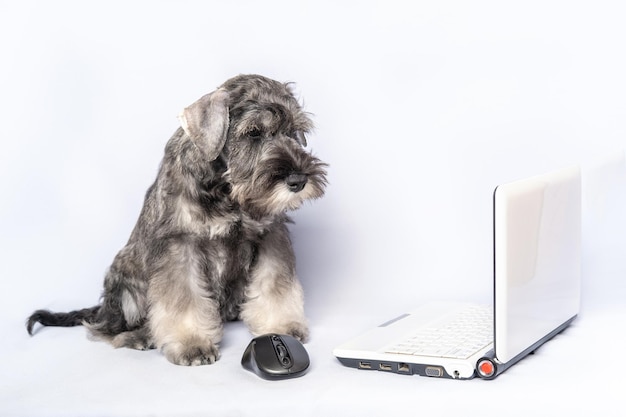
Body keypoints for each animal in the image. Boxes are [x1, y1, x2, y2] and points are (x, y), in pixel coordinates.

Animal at [25, 74, 326, 364]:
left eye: (293, 132)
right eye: (253, 133)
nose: (298, 180)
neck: (226, 190)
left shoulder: (270, 237)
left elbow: (274, 284)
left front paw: (282, 325)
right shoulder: (180, 247)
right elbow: (184, 299)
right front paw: (191, 343)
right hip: (124, 284)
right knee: (105, 329)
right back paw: (138, 336)